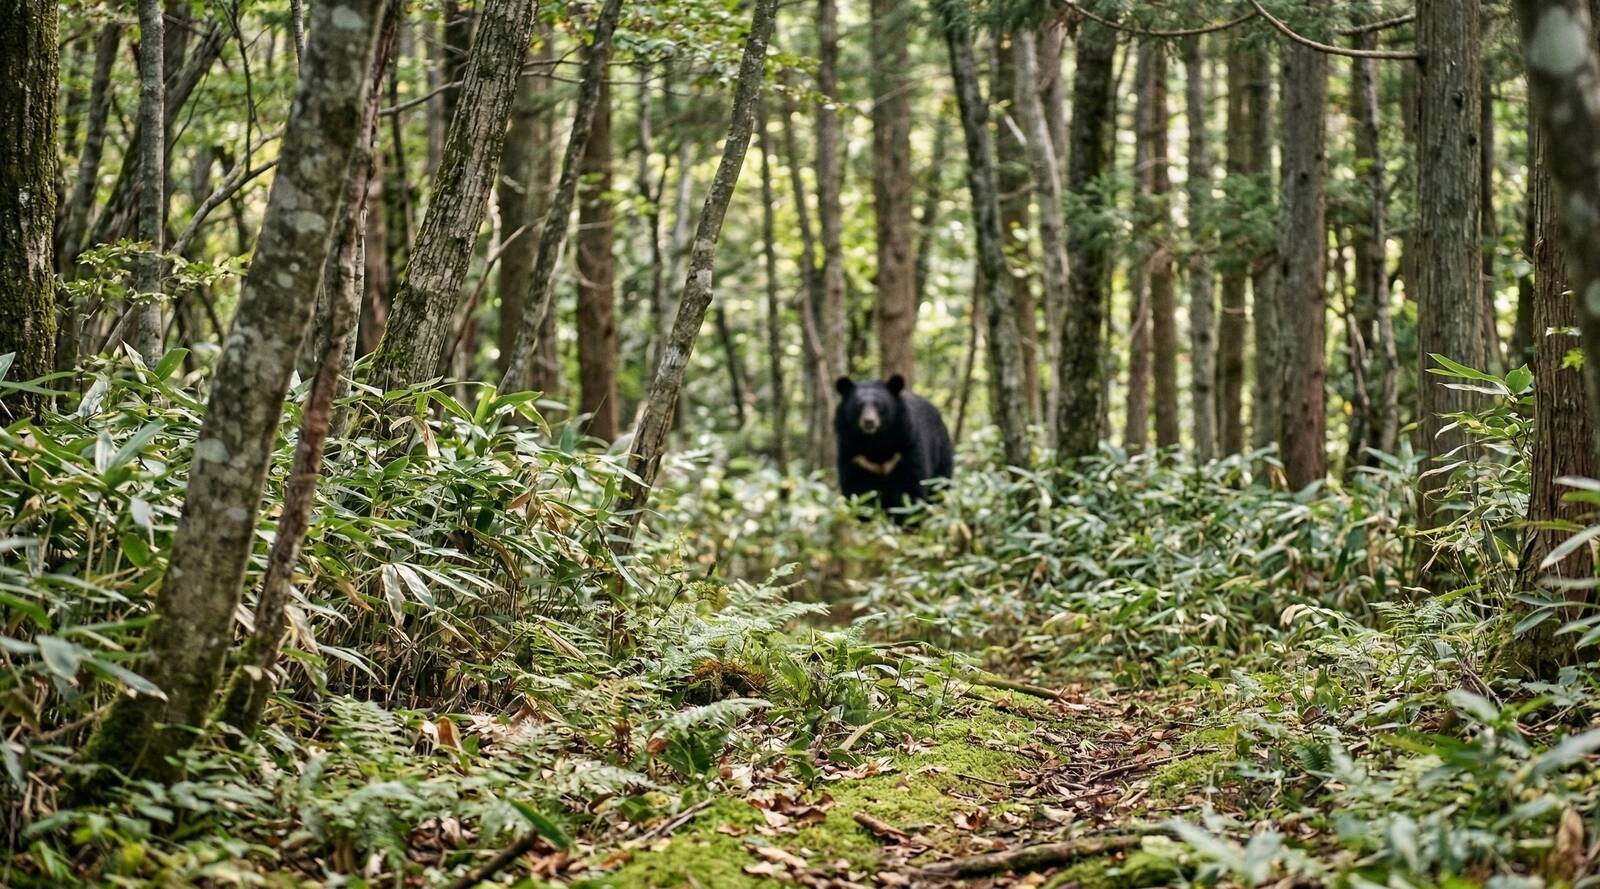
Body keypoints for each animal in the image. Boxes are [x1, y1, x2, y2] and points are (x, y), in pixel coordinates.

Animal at [834, 374, 954, 523]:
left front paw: (906, 521)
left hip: (941, 454)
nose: (869, 421)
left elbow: (909, 487)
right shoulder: (853, 454)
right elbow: (857, 488)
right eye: (858, 405)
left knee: (939, 488)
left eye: (879, 405)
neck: (874, 440)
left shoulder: (906, 446)